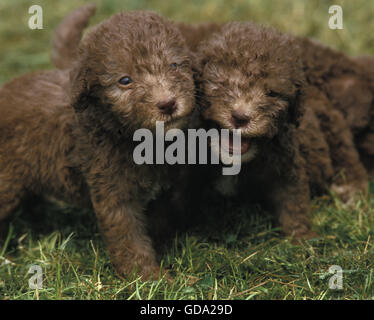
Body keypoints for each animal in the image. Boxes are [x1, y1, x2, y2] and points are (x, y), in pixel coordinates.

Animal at [0, 11, 197, 278]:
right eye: (125, 80)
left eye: (174, 65)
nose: (167, 103)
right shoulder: (113, 192)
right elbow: (129, 239)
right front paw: (146, 277)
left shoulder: (166, 188)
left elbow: (160, 218)